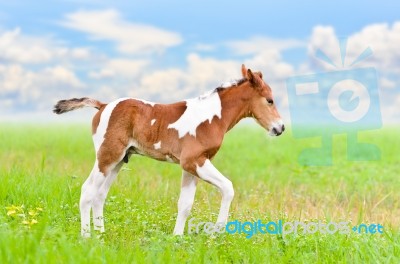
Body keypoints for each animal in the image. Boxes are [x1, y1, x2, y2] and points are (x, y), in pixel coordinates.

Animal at [53, 64, 284, 237]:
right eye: (270, 100)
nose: (280, 128)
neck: (212, 117)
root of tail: (103, 105)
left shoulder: (192, 166)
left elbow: (185, 204)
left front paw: (177, 238)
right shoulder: (193, 161)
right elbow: (228, 187)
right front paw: (217, 232)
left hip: (119, 161)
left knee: (100, 195)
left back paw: (101, 234)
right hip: (107, 157)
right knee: (88, 191)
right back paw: (87, 237)